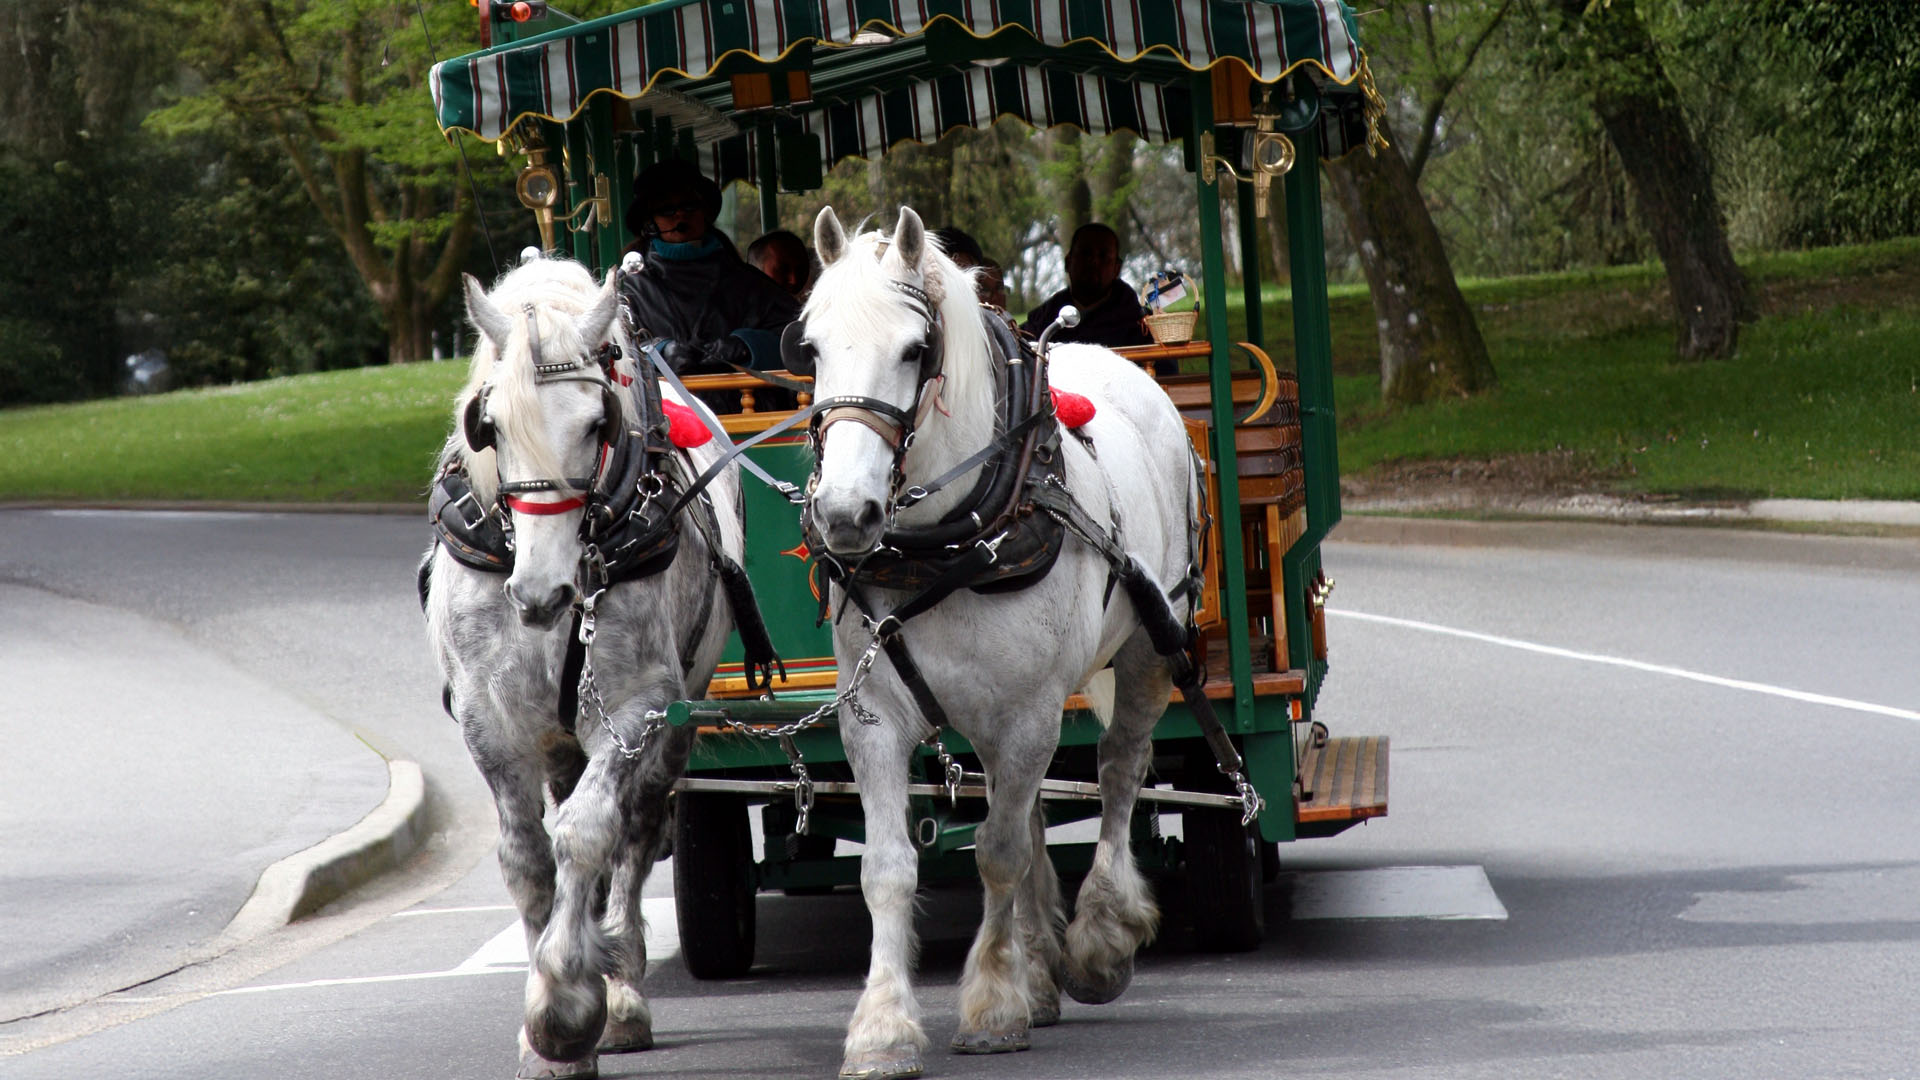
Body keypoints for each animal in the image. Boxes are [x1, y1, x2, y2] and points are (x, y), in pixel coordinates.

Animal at [423, 255, 762, 1080]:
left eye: (594, 424)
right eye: (490, 427)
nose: (543, 593)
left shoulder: (637, 706)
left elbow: (586, 834)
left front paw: (566, 1009)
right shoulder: (491, 722)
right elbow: (526, 859)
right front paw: (544, 1033)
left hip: (676, 719)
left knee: (636, 831)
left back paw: (625, 991)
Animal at [794, 206, 1203, 1080]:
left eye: (914, 349)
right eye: (810, 348)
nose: (844, 514)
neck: (944, 542)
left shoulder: (1024, 714)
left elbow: (999, 853)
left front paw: (992, 1002)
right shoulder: (874, 716)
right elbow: (889, 868)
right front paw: (883, 1028)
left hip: (1147, 650)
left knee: (1118, 771)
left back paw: (1098, 938)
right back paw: (1042, 964)